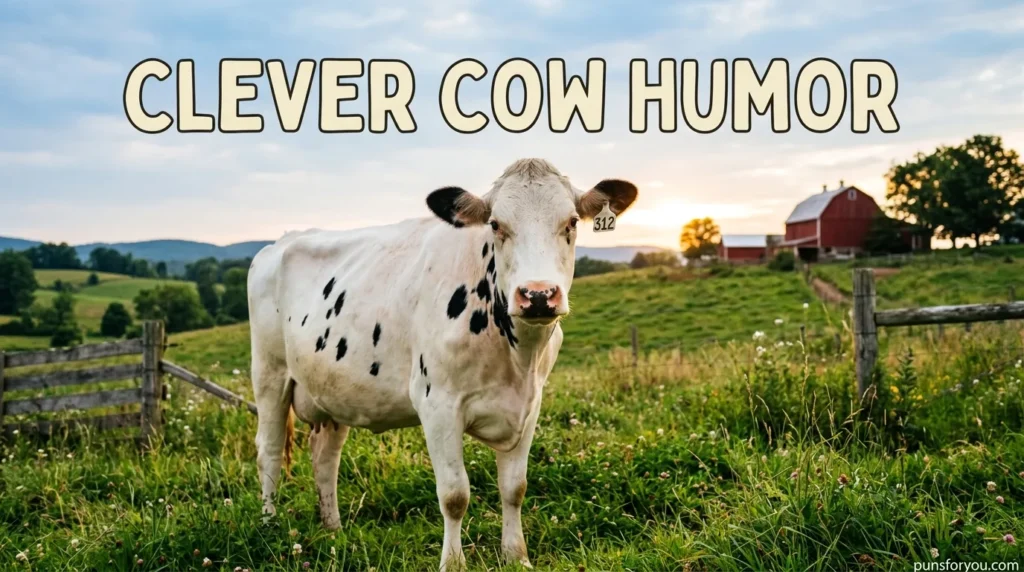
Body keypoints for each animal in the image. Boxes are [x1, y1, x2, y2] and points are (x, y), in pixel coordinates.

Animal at [247, 158, 637, 570]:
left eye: (572, 222)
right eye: (495, 225)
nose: (537, 295)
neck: (517, 359)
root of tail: (279, 242)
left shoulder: (530, 405)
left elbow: (515, 488)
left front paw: (516, 556)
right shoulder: (437, 404)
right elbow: (454, 494)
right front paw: (453, 563)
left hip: (332, 391)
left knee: (325, 457)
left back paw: (333, 528)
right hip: (269, 374)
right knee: (268, 450)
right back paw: (270, 525)